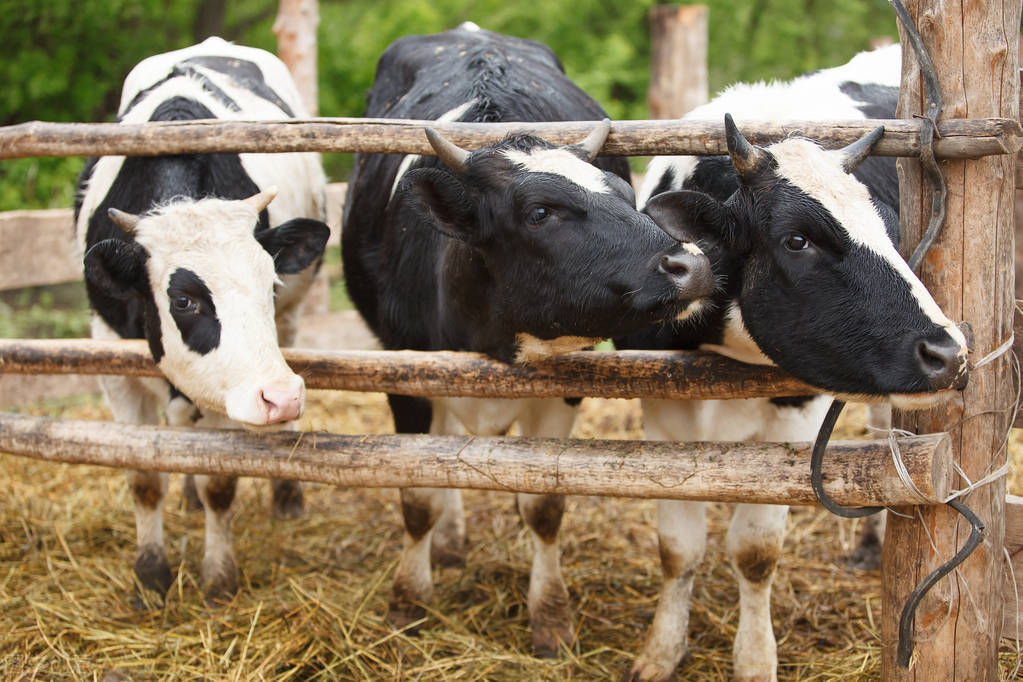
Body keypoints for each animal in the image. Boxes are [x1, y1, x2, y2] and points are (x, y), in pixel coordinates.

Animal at [74, 37, 329, 605]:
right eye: (184, 301)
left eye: (269, 284)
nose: (282, 397)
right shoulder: (110, 361)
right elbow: (145, 477)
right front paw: (149, 574)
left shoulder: (234, 388)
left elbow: (220, 482)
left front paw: (218, 578)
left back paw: (286, 495)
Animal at [339, 24, 716, 658]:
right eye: (540, 211)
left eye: (624, 191)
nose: (690, 264)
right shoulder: (403, 371)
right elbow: (417, 495)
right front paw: (408, 601)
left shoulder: (563, 383)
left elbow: (543, 505)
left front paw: (551, 618)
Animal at [609, 43, 969, 682]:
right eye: (798, 240)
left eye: (890, 231)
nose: (949, 352)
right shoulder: (661, 404)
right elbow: (678, 548)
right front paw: (661, 650)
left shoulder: (794, 414)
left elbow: (755, 553)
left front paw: (754, 660)